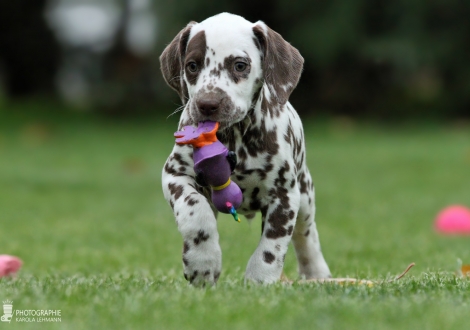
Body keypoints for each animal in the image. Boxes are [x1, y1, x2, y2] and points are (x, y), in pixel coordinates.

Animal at [161, 12, 330, 284]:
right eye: (192, 66)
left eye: (240, 65)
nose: (208, 104)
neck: (234, 139)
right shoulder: (175, 175)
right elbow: (196, 212)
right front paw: (202, 261)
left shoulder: (284, 196)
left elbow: (271, 246)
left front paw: (259, 281)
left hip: (305, 197)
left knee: (306, 235)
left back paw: (317, 273)